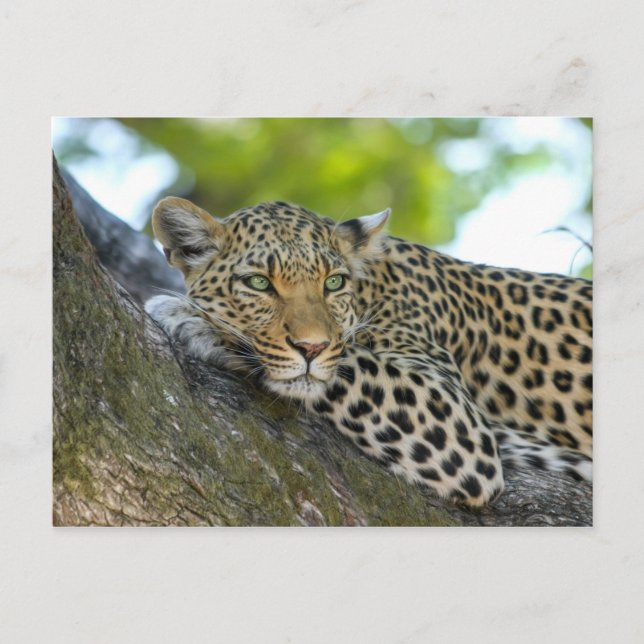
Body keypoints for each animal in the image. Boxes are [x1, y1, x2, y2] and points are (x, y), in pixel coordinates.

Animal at [145, 197, 592, 507]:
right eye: (258, 283)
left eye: (333, 282)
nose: (311, 347)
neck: (373, 288)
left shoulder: (458, 423)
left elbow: (347, 363)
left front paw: (193, 319)